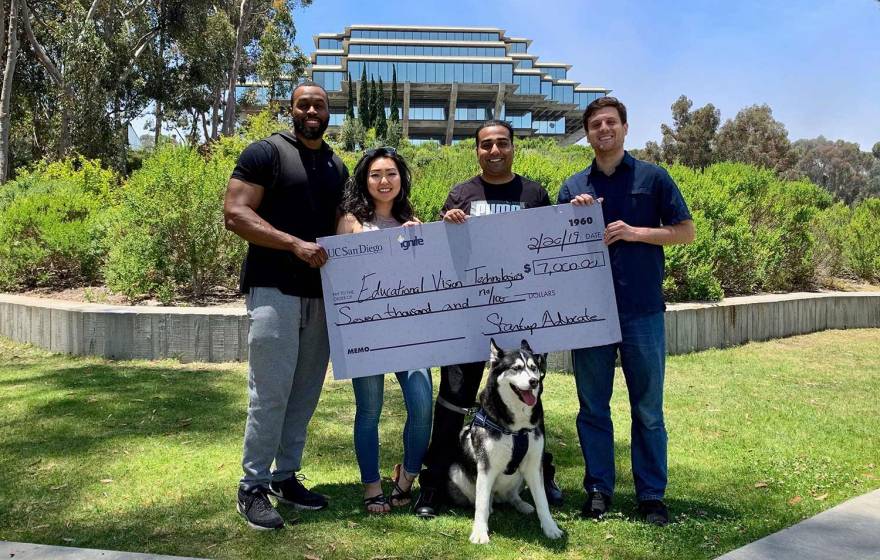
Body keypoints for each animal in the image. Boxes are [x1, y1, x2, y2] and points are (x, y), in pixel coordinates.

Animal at [446, 336, 564, 544]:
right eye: (516, 368)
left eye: (533, 367)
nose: (534, 382)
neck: (517, 428)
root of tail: (499, 496)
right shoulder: (486, 467)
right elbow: (481, 504)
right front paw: (480, 532)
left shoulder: (534, 465)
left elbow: (542, 501)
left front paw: (550, 528)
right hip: (456, 472)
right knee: (482, 499)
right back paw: (490, 508)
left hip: (520, 478)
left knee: (512, 496)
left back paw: (522, 504)